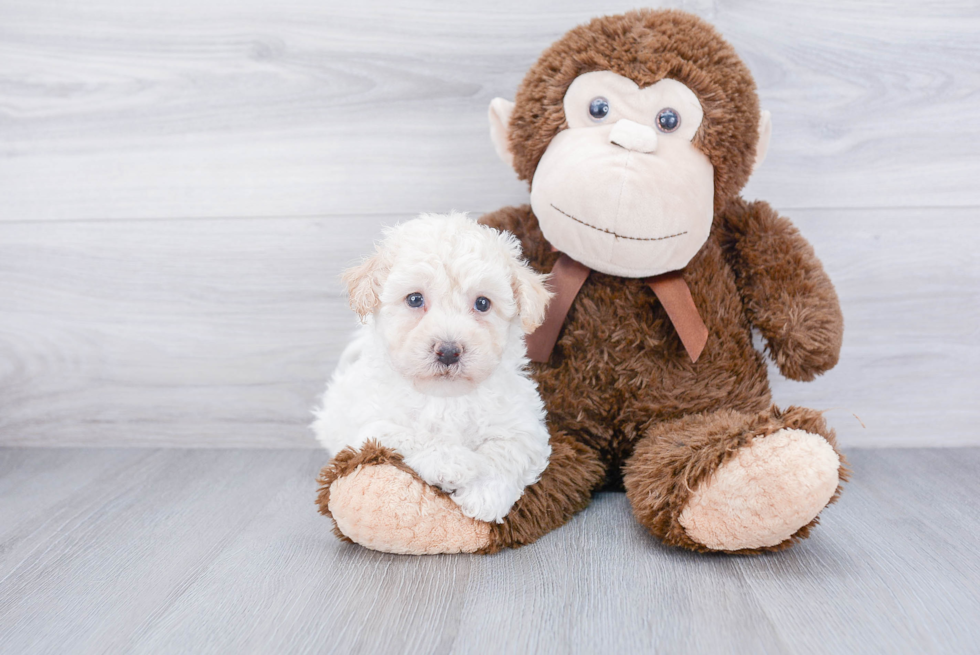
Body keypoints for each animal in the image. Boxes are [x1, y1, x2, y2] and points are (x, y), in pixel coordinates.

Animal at [316, 214, 556, 524]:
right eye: (415, 299)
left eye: (482, 303)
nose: (449, 351)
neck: (446, 398)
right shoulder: (374, 426)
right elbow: (415, 437)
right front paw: (452, 464)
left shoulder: (524, 428)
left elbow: (507, 451)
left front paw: (485, 494)